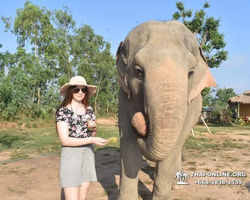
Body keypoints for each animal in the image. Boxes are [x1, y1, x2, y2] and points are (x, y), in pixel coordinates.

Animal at [116, 20, 216, 200]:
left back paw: (175, 185)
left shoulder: (188, 106)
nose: (139, 119)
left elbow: (171, 150)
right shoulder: (124, 96)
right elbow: (128, 145)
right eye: (138, 72)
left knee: (178, 146)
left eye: (190, 73)